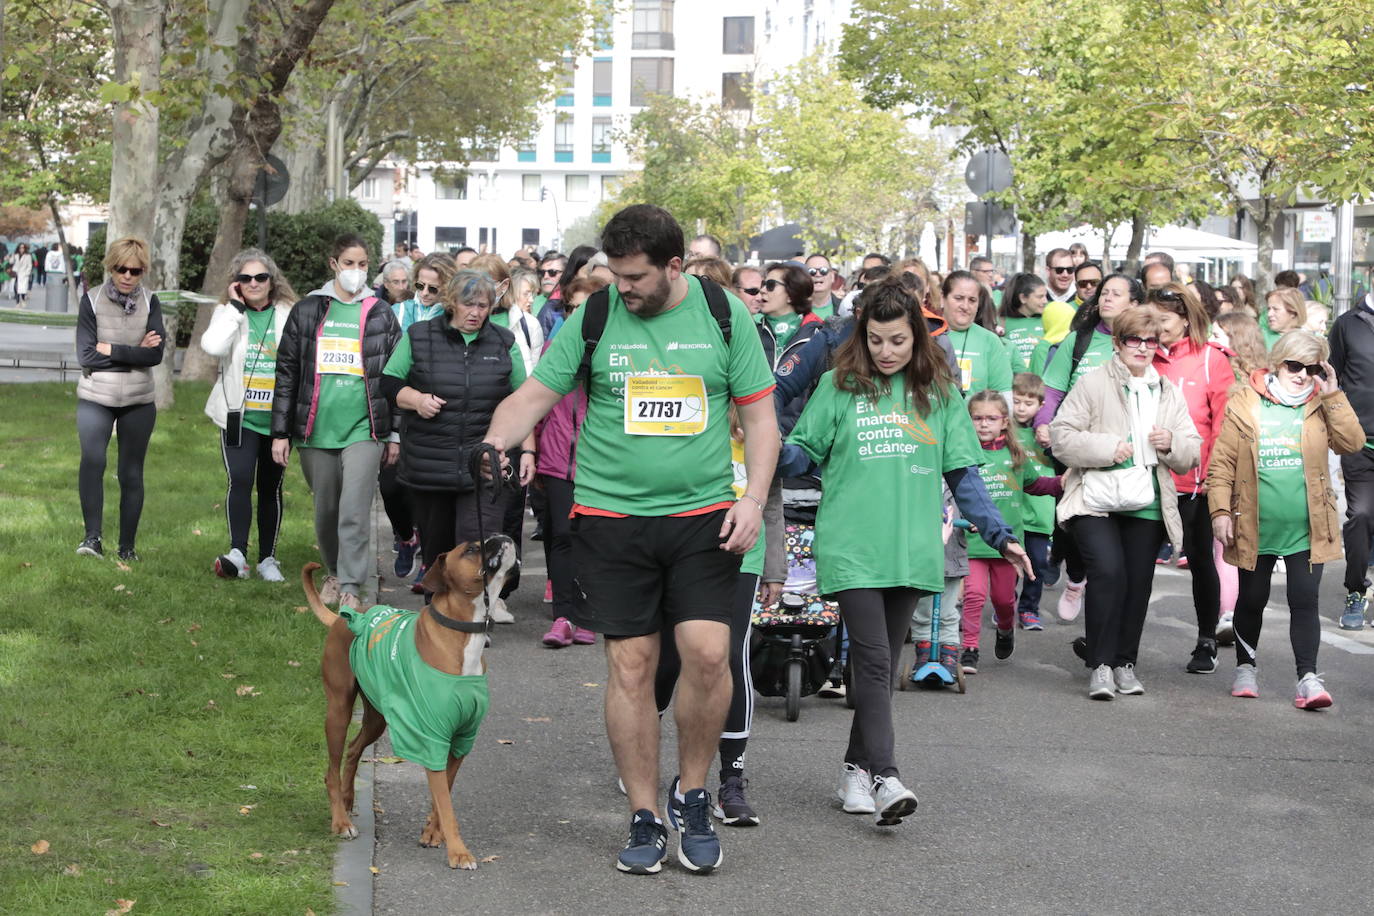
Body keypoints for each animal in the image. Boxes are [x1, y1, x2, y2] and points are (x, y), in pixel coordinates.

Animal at [303, 532, 516, 873]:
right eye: (471, 548)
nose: (500, 535)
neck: (462, 633)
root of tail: (345, 619)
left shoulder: (460, 740)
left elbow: (442, 796)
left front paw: (432, 833)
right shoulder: (434, 739)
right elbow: (447, 804)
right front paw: (459, 853)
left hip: (375, 719)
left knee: (353, 749)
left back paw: (348, 800)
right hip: (338, 711)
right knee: (331, 770)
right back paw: (340, 821)